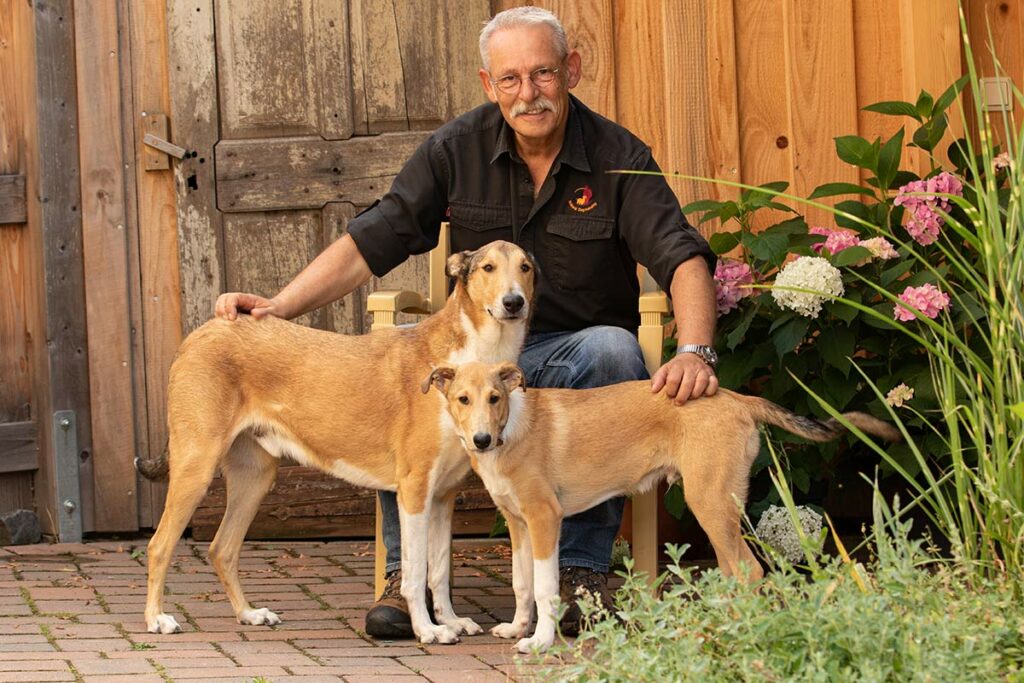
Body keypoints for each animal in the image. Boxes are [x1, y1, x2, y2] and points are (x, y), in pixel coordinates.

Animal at [138, 241, 536, 647]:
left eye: (526, 267)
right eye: (488, 267)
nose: (513, 302)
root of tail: (201, 331)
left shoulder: (443, 495)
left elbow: (438, 571)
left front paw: (452, 622)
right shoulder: (414, 490)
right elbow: (415, 574)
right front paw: (428, 630)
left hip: (255, 477)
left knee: (222, 549)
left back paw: (249, 614)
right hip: (196, 465)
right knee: (159, 545)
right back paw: (157, 619)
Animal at [419, 360, 901, 655]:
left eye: (495, 398)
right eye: (462, 399)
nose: (481, 440)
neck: (511, 430)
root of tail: (737, 398)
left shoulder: (545, 519)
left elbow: (545, 588)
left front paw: (539, 643)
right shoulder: (519, 523)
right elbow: (523, 585)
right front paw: (518, 630)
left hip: (708, 501)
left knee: (749, 570)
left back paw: (738, 631)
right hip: (716, 505)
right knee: (735, 570)